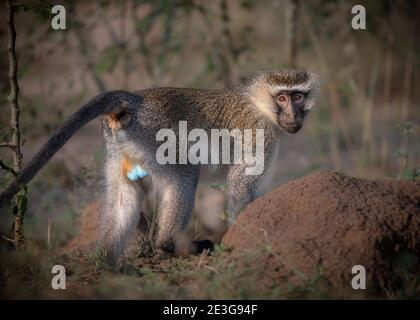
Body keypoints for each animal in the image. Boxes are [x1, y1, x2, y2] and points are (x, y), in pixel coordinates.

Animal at [0, 70, 318, 262]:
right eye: (281, 97)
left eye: (297, 96)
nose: (292, 115)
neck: (261, 106)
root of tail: (136, 100)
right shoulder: (261, 135)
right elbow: (242, 190)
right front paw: (245, 237)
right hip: (156, 137)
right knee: (185, 175)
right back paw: (167, 246)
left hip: (121, 147)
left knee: (124, 193)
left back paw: (107, 262)